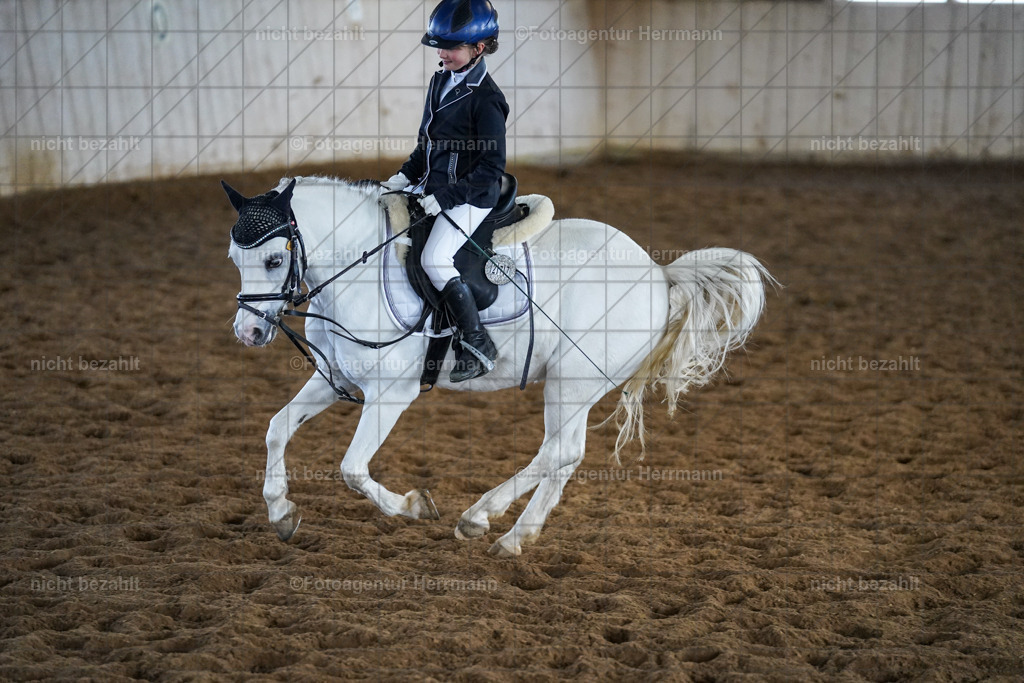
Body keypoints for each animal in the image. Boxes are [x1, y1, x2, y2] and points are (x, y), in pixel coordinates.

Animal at [224, 175, 774, 557]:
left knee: (557, 452)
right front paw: (281, 512)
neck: (356, 272)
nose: (248, 333)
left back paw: (480, 517)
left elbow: (352, 469)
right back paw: (514, 537)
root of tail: (659, 273)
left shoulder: (391, 394)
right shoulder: (333, 377)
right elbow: (277, 428)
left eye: (273, 260)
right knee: (565, 455)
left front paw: (413, 506)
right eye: (234, 258)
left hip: (572, 383)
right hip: (572, 386)